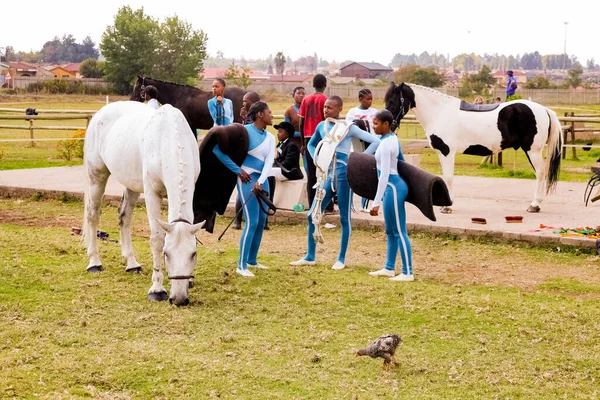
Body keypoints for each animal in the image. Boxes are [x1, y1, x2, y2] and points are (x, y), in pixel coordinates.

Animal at [82, 101, 204, 304]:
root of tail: (101, 113)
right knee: (93, 215)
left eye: (193, 254)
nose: (179, 299)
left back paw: (131, 264)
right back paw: (94, 262)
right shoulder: (151, 193)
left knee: (124, 217)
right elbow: (156, 239)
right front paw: (157, 289)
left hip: (131, 185)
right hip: (96, 177)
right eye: (166, 253)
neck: (167, 139)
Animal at [384, 81, 564, 212]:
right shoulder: (442, 153)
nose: (389, 125)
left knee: (540, 173)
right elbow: (445, 177)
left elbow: (449, 177)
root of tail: (544, 110)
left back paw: (535, 205)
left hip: (533, 151)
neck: (440, 113)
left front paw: (447, 207)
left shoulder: (447, 152)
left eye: (393, 101)